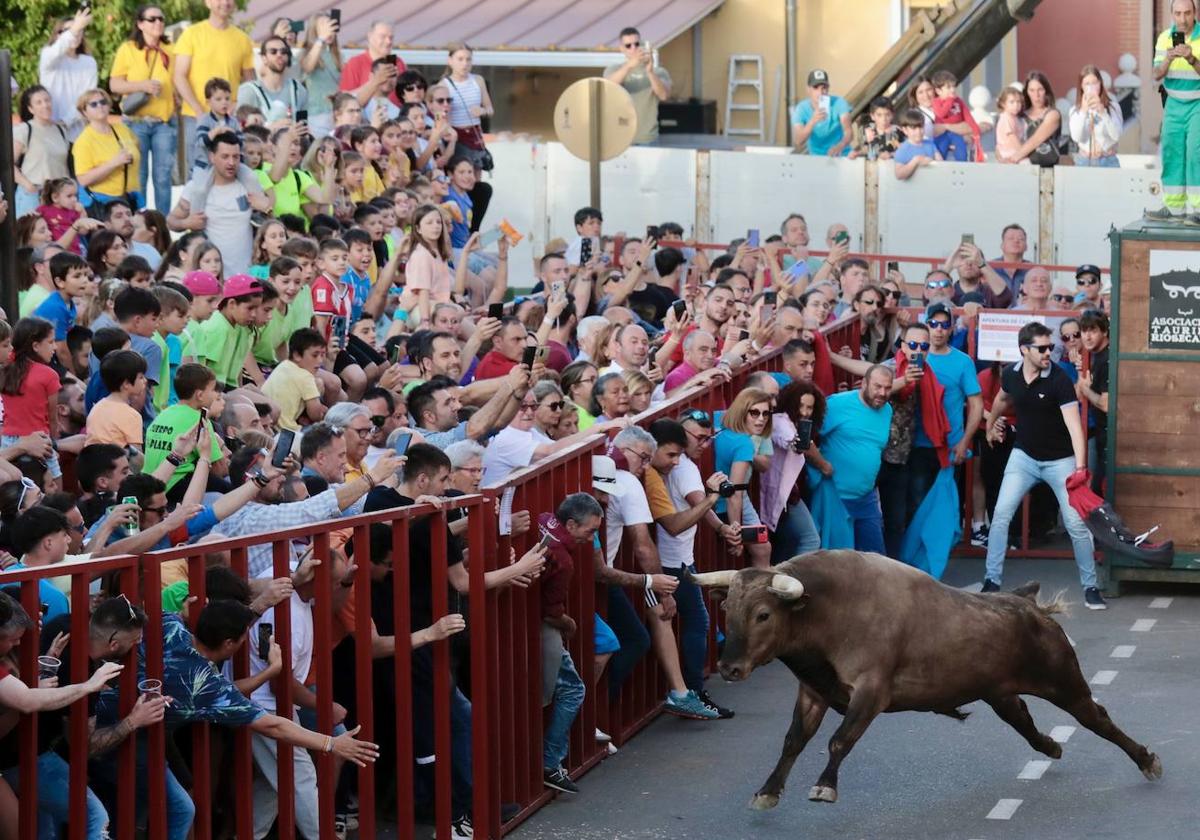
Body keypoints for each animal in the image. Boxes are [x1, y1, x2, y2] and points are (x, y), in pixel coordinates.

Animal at [696, 552, 1161, 806]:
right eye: (727, 610)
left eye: (763, 614)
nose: (729, 668)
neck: (827, 609)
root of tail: (1028, 604)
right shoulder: (813, 692)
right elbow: (794, 741)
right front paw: (768, 791)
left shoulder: (871, 694)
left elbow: (839, 740)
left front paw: (825, 786)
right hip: (1000, 694)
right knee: (1025, 721)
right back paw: (1052, 747)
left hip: (1064, 682)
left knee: (1098, 718)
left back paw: (1146, 760)